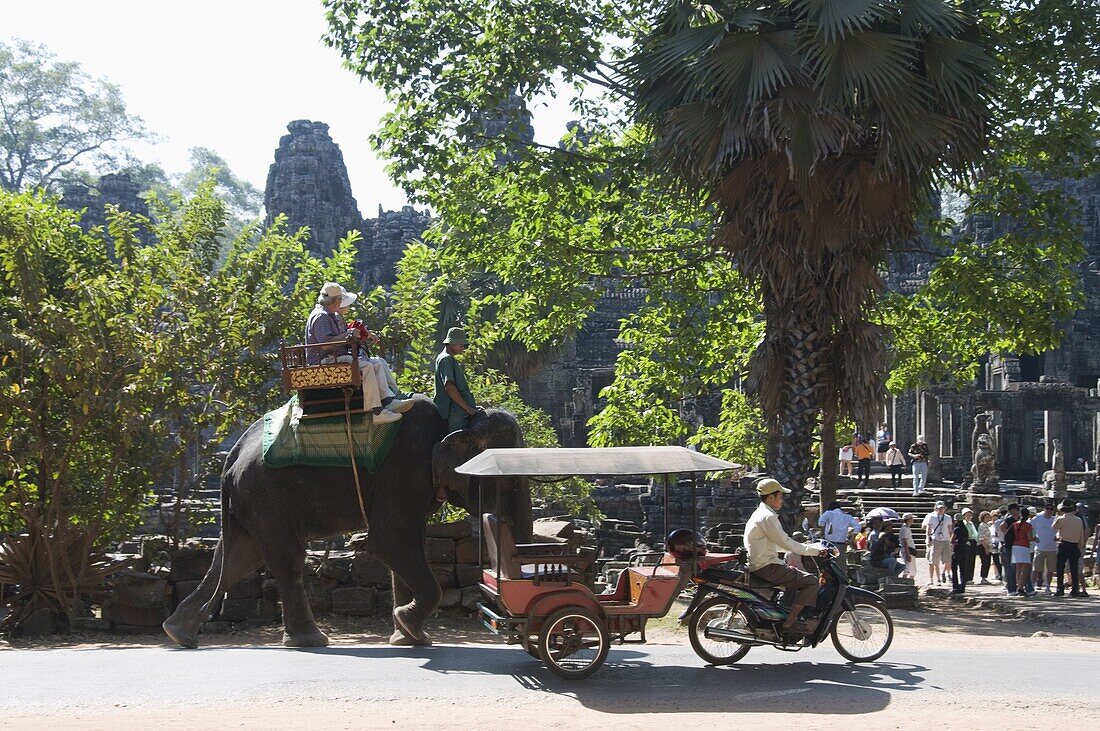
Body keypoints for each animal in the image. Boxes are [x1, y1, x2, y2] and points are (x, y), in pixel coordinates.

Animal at [161, 400, 532, 650]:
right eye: (508, 480)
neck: (456, 420)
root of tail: (232, 454)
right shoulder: (404, 470)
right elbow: (389, 540)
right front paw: (408, 626)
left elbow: (405, 544)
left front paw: (409, 638)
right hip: (268, 496)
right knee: (286, 557)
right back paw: (312, 641)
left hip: (253, 501)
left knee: (238, 557)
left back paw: (178, 633)